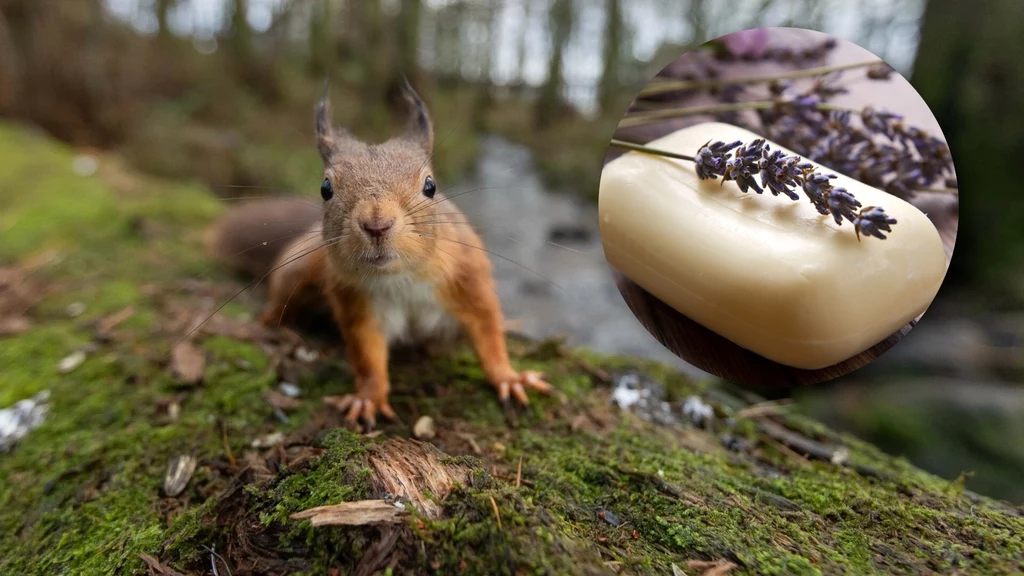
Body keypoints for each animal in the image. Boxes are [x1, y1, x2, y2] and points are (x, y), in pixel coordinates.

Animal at [208, 78, 557, 424]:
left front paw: (509, 377)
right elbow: (367, 355)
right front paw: (368, 399)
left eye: (430, 186)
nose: (377, 224)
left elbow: (488, 332)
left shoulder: (468, 279)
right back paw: (270, 320)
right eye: (325, 188)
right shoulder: (357, 302)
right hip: (298, 269)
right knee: (280, 297)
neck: (403, 277)